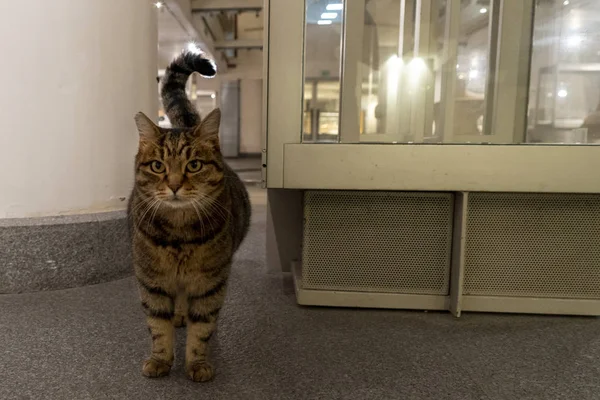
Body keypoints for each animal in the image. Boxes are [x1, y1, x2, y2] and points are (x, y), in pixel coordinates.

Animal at [129, 51, 251, 382]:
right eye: (157, 166)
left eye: (194, 165)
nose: (173, 185)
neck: (179, 234)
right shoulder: (152, 282)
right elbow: (158, 325)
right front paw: (160, 359)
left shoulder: (209, 283)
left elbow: (202, 328)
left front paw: (197, 363)